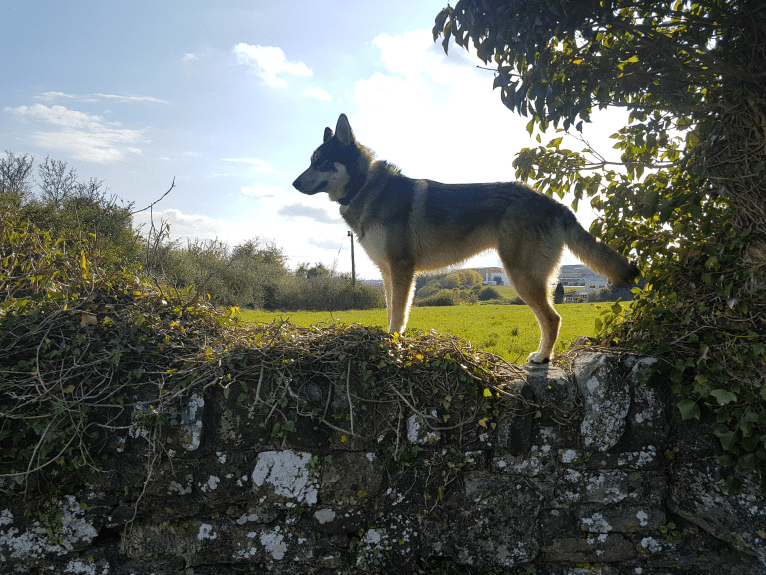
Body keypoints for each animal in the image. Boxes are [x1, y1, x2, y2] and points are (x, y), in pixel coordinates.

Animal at [292, 114, 640, 362]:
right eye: (310, 161)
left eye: (321, 162)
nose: (294, 183)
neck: (364, 186)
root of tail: (553, 202)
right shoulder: (388, 273)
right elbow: (391, 310)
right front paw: (389, 340)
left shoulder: (402, 270)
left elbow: (399, 316)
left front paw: (394, 345)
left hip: (521, 277)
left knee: (552, 319)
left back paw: (542, 357)